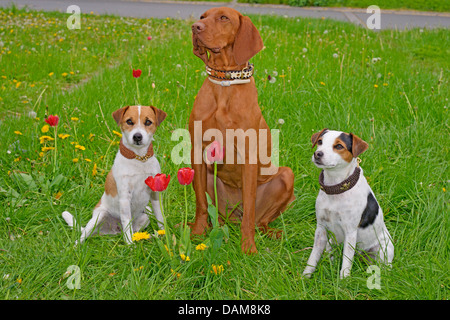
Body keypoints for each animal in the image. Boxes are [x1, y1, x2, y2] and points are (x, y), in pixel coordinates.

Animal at [62, 105, 167, 245]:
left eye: (148, 122)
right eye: (129, 121)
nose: (137, 137)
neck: (139, 159)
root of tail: (116, 229)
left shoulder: (155, 194)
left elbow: (160, 216)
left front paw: (163, 235)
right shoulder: (125, 198)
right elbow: (126, 221)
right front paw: (130, 246)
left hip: (145, 216)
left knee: (133, 230)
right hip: (99, 216)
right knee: (82, 237)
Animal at [187, 6, 296, 255]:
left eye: (223, 17)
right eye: (202, 17)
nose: (195, 27)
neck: (224, 83)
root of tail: (232, 217)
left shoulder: (248, 157)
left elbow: (250, 214)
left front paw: (248, 248)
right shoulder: (197, 152)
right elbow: (200, 203)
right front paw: (197, 234)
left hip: (286, 175)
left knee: (257, 220)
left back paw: (270, 233)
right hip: (212, 181)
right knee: (219, 214)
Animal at [302, 129, 394, 278]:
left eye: (339, 146)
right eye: (320, 142)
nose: (317, 154)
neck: (335, 189)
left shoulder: (350, 232)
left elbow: (346, 262)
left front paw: (343, 280)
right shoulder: (321, 229)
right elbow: (313, 257)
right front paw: (305, 277)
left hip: (383, 250)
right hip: (331, 242)